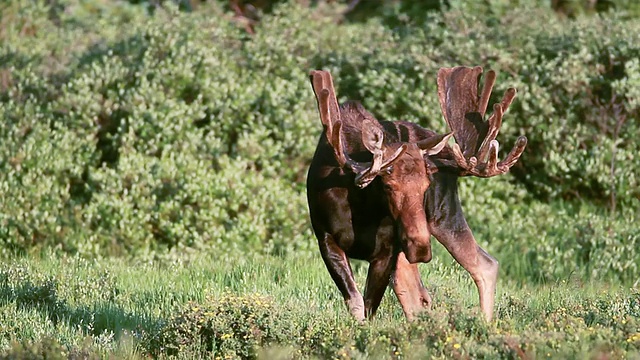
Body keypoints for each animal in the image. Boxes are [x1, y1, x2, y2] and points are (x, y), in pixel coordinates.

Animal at [308, 67, 528, 320]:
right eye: (387, 185)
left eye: (425, 185)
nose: (422, 247)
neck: (361, 208)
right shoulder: (326, 239)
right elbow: (357, 304)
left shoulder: (387, 251)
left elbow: (369, 306)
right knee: (418, 295)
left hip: (442, 215)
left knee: (484, 265)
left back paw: (484, 324)